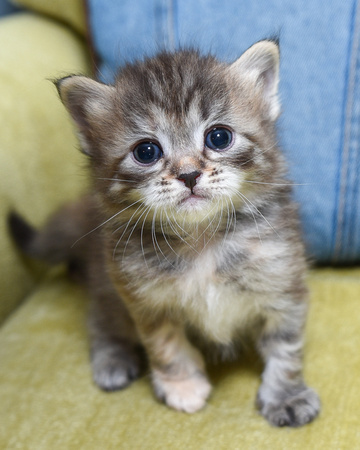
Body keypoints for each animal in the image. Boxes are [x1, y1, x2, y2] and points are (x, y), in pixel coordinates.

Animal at [10, 40, 320, 428]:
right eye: (147, 151)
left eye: (219, 137)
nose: (188, 175)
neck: (202, 239)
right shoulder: (141, 295)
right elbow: (166, 344)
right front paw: (182, 386)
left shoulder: (282, 277)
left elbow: (286, 345)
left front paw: (286, 394)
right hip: (106, 284)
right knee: (100, 318)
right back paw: (113, 358)